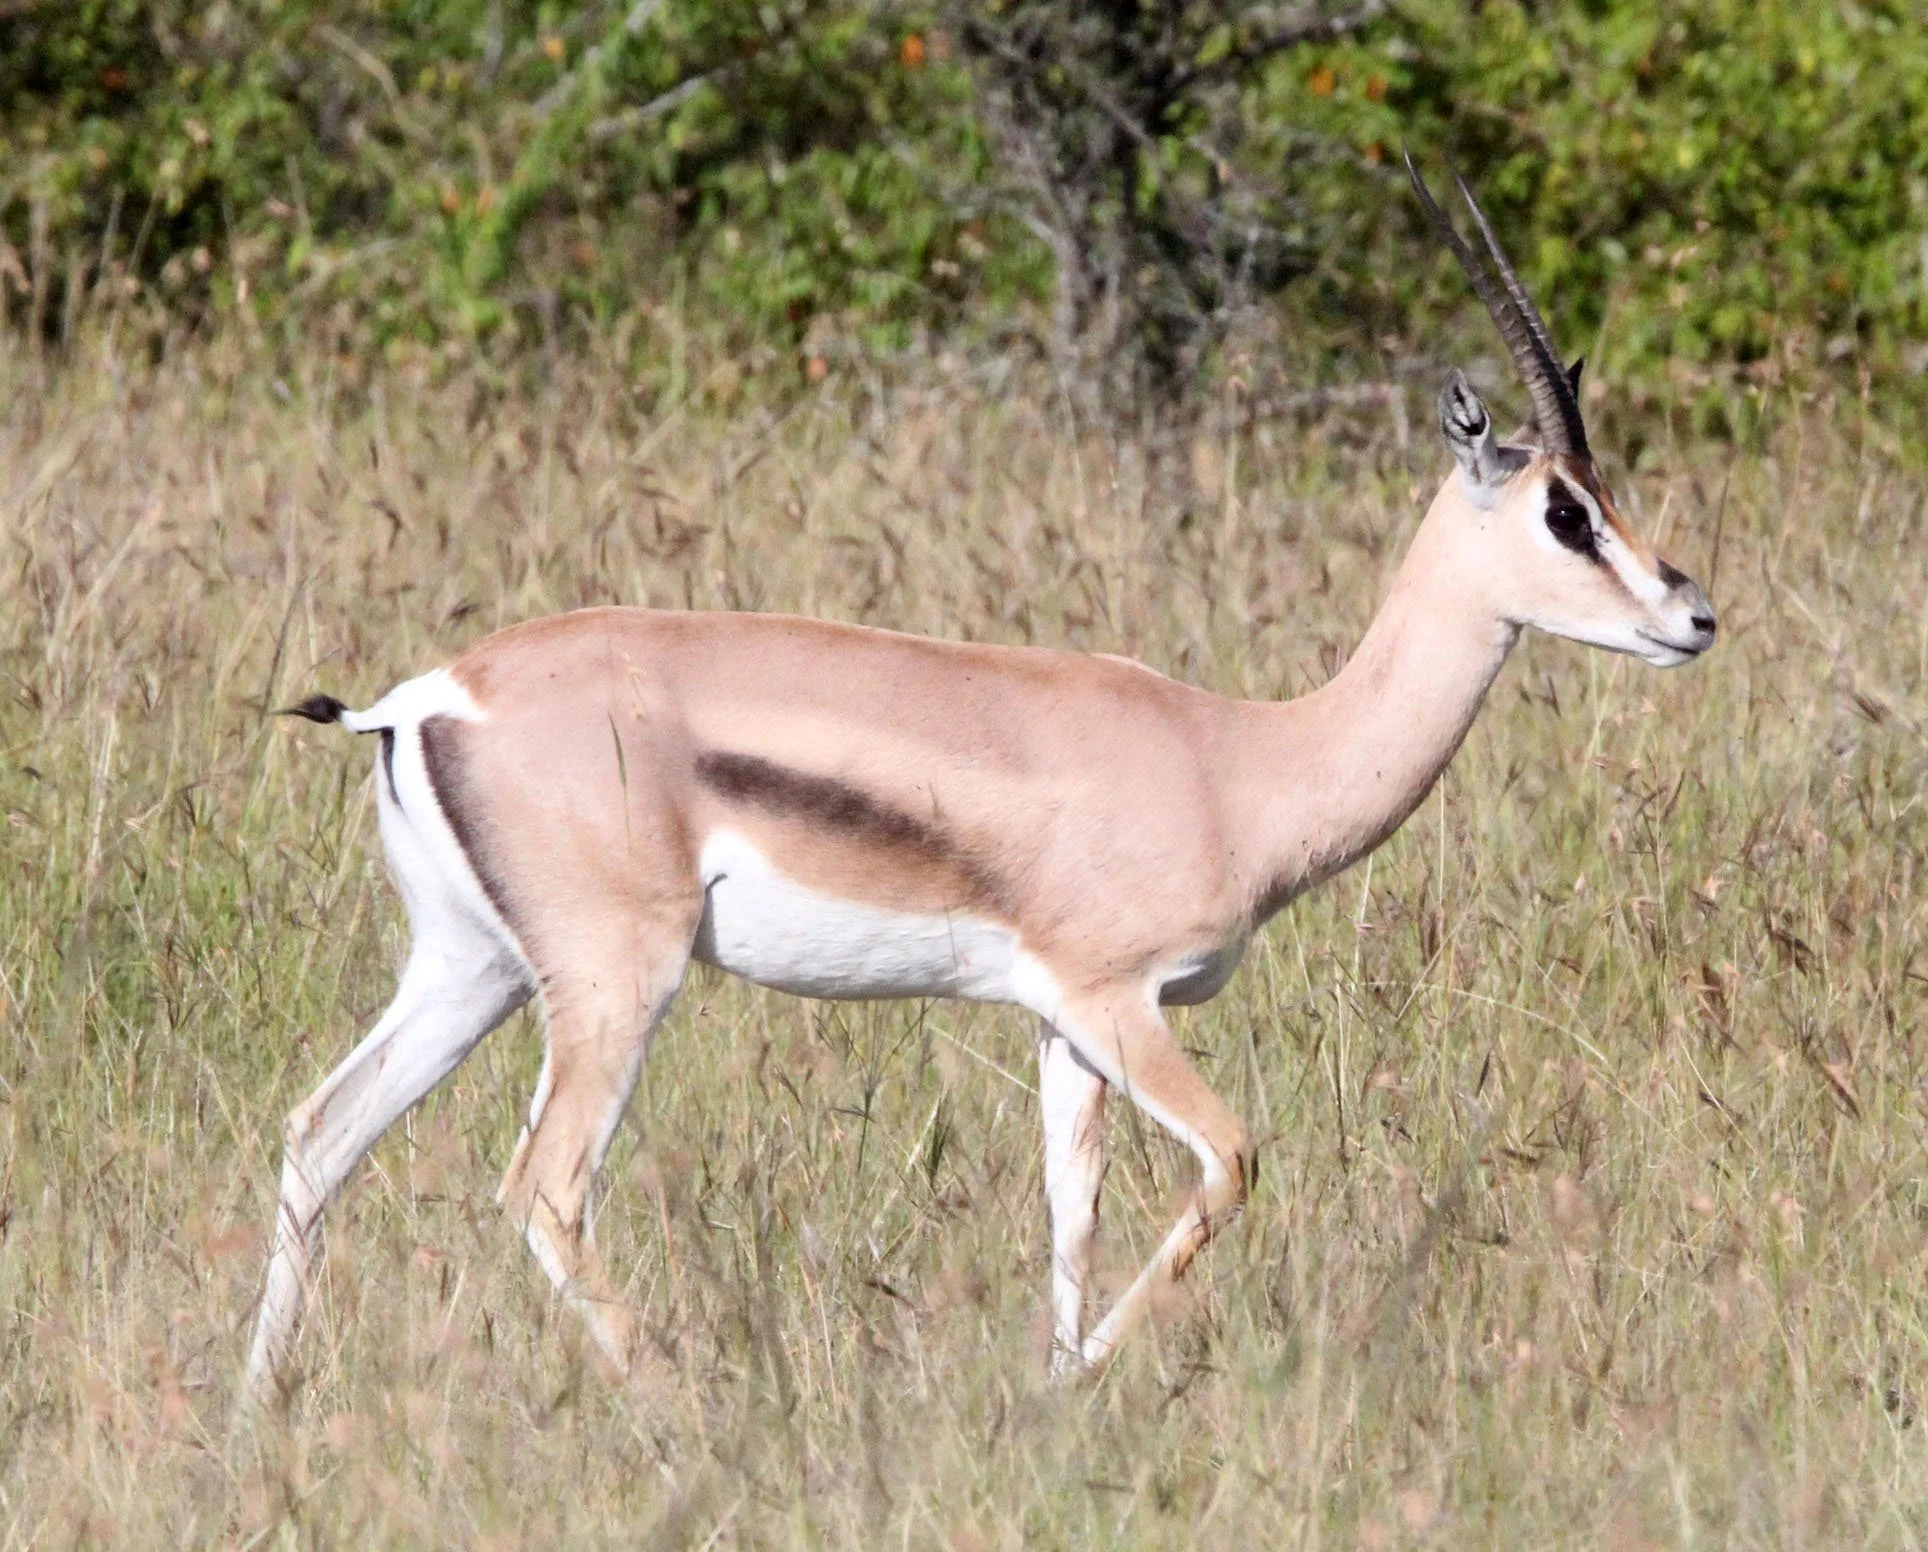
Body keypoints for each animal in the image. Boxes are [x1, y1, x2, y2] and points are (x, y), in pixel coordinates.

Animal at [245, 158, 1716, 1402]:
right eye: (1563, 511)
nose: (1692, 616)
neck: (1235, 761)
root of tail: (426, 698)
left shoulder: (1064, 1026)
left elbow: (1071, 1218)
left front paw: (1050, 1396)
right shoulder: (1118, 1001)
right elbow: (1230, 1164)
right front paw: (1082, 1384)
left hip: (473, 969)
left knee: (321, 1132)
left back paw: (259, 1408)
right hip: (614, 981)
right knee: (544, 1187)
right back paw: (690, 1404)